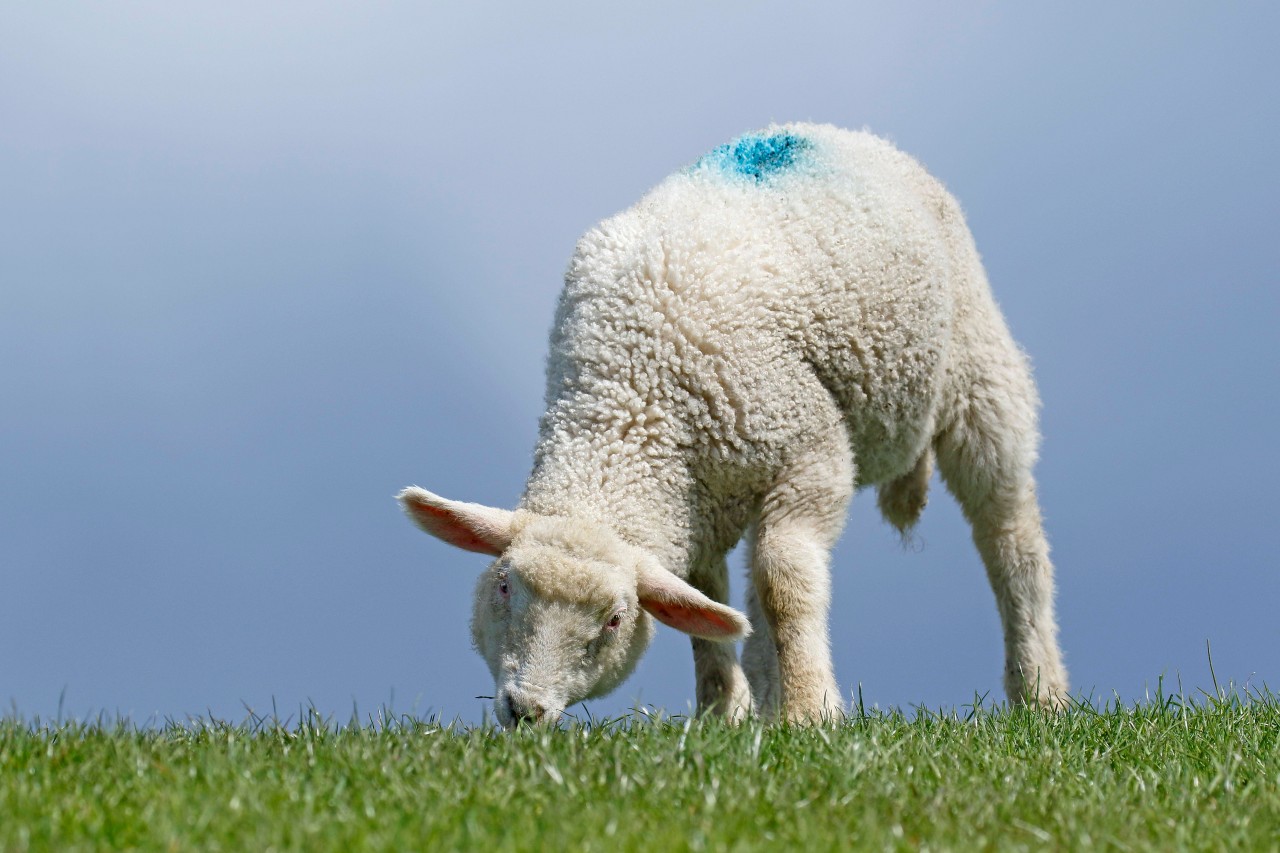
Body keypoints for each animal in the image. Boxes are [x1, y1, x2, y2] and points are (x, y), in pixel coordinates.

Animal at [401, 122, 1070, 727]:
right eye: (503, 587)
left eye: (614, 620)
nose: (525, 710)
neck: (633, 401)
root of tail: (838, 130)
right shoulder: (697, 505)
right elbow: (710, 612)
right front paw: (723, 714)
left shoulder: (811, 458)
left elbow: (784, 583)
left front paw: (810, 713)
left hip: (980, 375)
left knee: (1010, 536)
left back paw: (1040, 692)